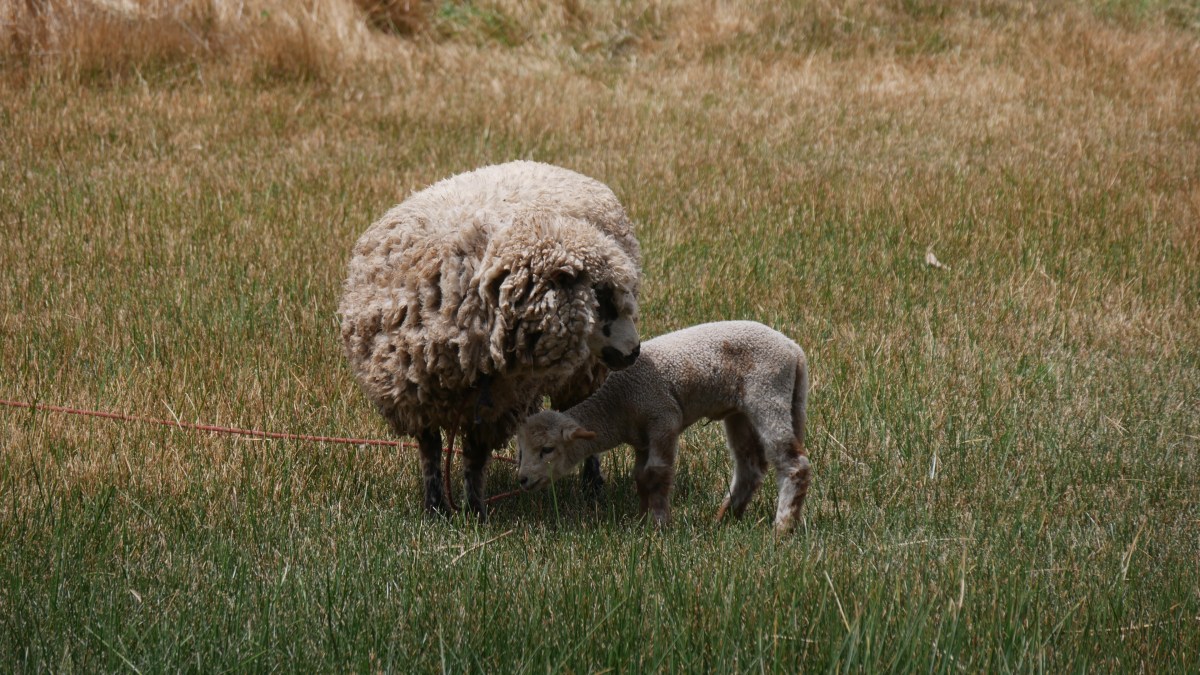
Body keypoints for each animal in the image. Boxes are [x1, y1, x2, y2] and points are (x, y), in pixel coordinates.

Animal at [339, 161, 643, 519]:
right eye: (602, 296)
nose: (635, 351)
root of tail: (552, 165)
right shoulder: (415, 394)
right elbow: (430, 452)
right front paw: (434, 510)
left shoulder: (495, 403)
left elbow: (474, 457)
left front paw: (474, 512)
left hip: (584, 372)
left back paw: (592, 487)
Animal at [516, 321, 811, 533]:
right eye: (521, 450)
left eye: (547, 449)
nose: (522, 479)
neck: (616, 406)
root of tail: (794, 350)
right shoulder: (641, 438)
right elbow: (640, 476)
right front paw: (642, 520)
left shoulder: (663, 418)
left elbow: (656, 473)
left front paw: (658, 525)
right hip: (743, 411)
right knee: (750, 466)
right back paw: (726, 518)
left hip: (767, 392)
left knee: (793, 463)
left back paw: (782, 527)